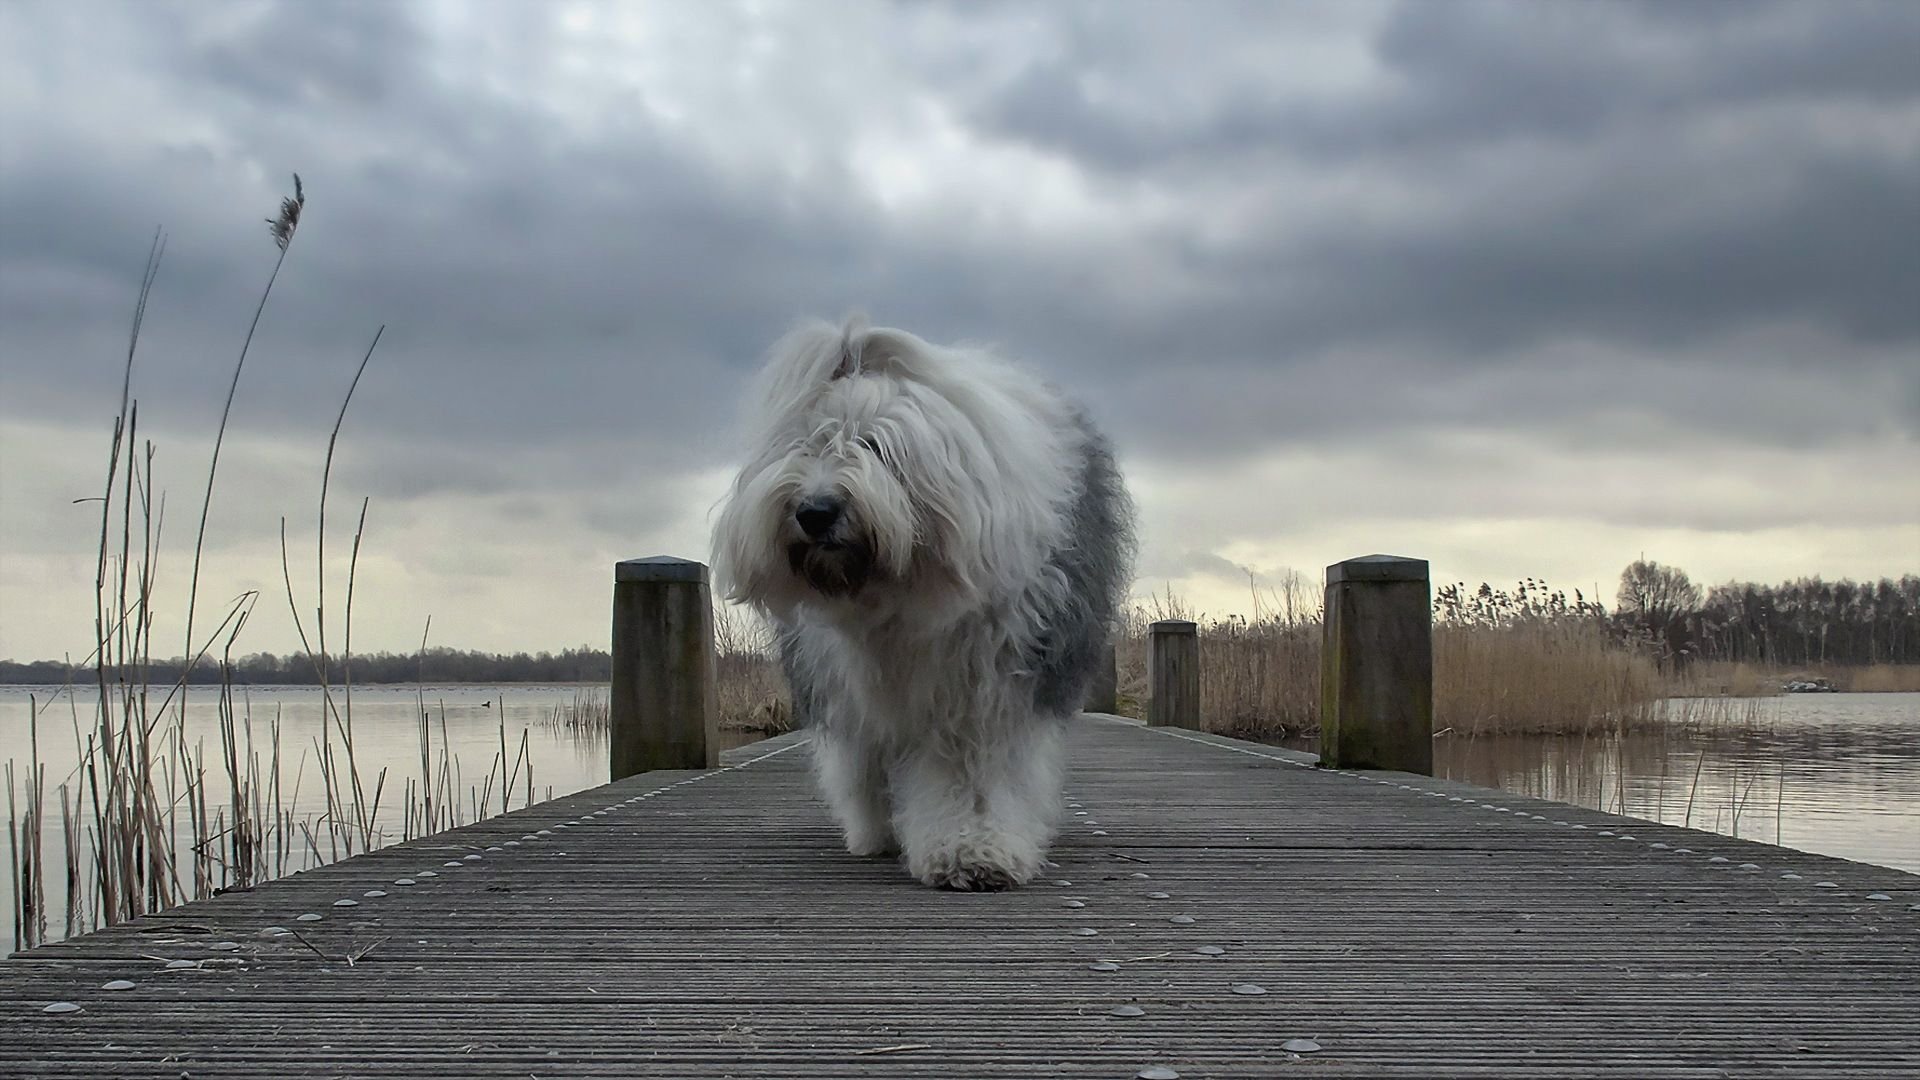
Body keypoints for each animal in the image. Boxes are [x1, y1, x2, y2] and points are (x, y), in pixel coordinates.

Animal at [721, 315, 1136, 887]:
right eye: (804, 445)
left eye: (874, 446)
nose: (815, 511)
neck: (898, 590)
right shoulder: (848, 679)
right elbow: (865, 756)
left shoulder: (986, 682)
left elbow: (971, 769)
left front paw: (975, 851)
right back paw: (876, 830)